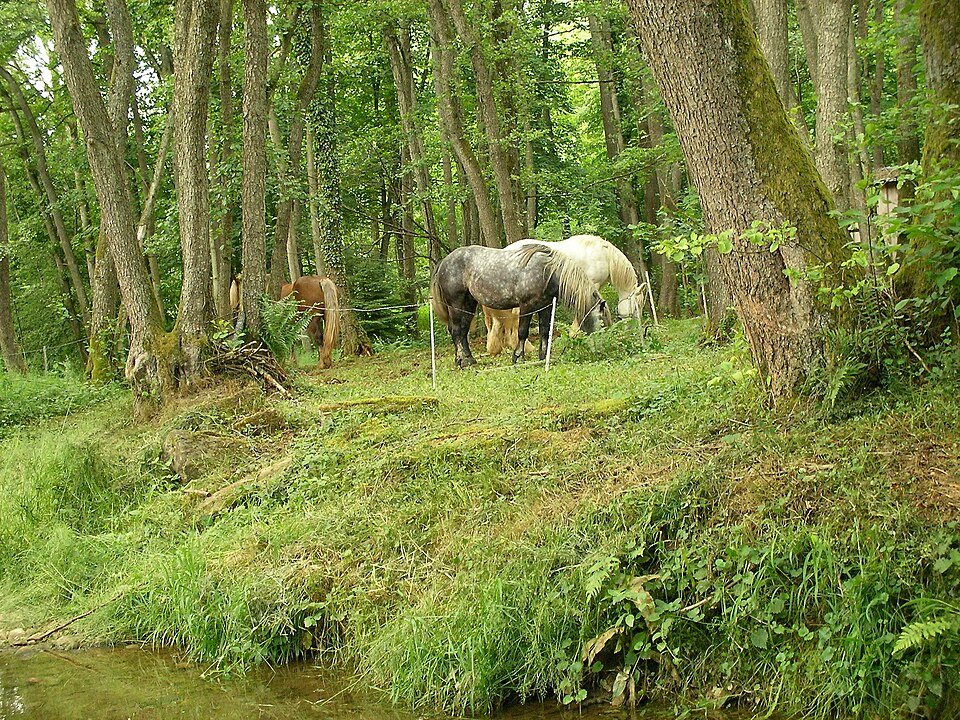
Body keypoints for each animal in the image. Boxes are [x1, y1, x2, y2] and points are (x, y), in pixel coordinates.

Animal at [431, 243, 609, 368]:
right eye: (601, 320)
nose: (601, 348)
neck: (547, 271)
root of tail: (444, 262)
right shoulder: (526, 306)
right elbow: (522, 332)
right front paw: (518, 356)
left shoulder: (545, 306)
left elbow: (544, 331)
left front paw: (543, 356)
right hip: (456, 304)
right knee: (456, 331)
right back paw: (462, 361)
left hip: (469, 304)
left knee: (462, 331)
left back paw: (467, 359)